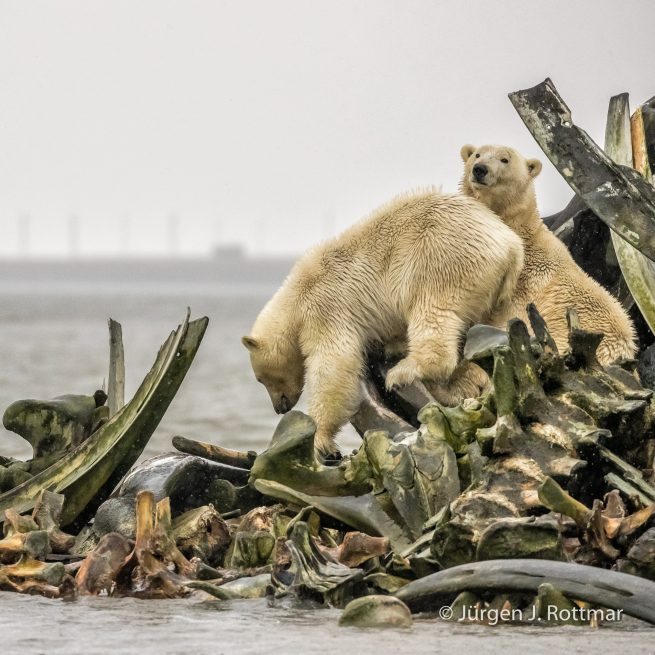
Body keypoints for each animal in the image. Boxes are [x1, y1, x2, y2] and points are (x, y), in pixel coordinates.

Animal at [242, 189, 524, 456]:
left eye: (260, 379)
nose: (280, 407)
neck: (295, 299)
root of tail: (510, 244)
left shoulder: (325, 309)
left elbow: (334, 366)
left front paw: (319, 438)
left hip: (441, 260)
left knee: (433, 314)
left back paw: (404, 372)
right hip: (497, 292)